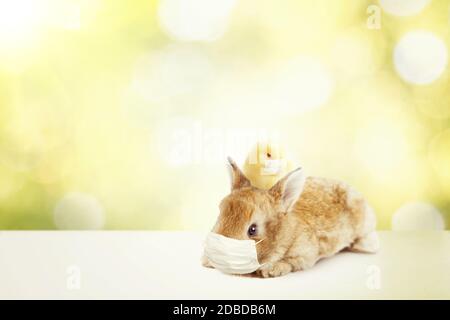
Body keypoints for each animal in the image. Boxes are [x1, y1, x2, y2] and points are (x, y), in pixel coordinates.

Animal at [202, 158, 378, 278]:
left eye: (252, 229)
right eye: (219, 215)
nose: (217, 255)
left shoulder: (305, 255)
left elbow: (291, 263)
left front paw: (272, 270)